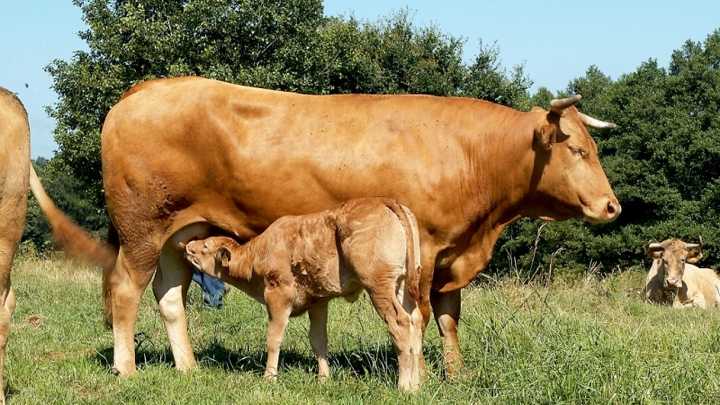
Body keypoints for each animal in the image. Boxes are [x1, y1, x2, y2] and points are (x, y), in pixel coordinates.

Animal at [183, 198, 423, 391]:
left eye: (205, 246)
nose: (188, 245)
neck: (258, 255)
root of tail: (384, 200)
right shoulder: (318, 300)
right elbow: (318, 340)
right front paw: (324, 379)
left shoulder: (278, 295)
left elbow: (273, 338)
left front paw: (269, 377)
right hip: (402, 286)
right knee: (416, 320)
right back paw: (417, 384)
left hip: (378, 285)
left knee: (400, 323)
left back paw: (404, 386)